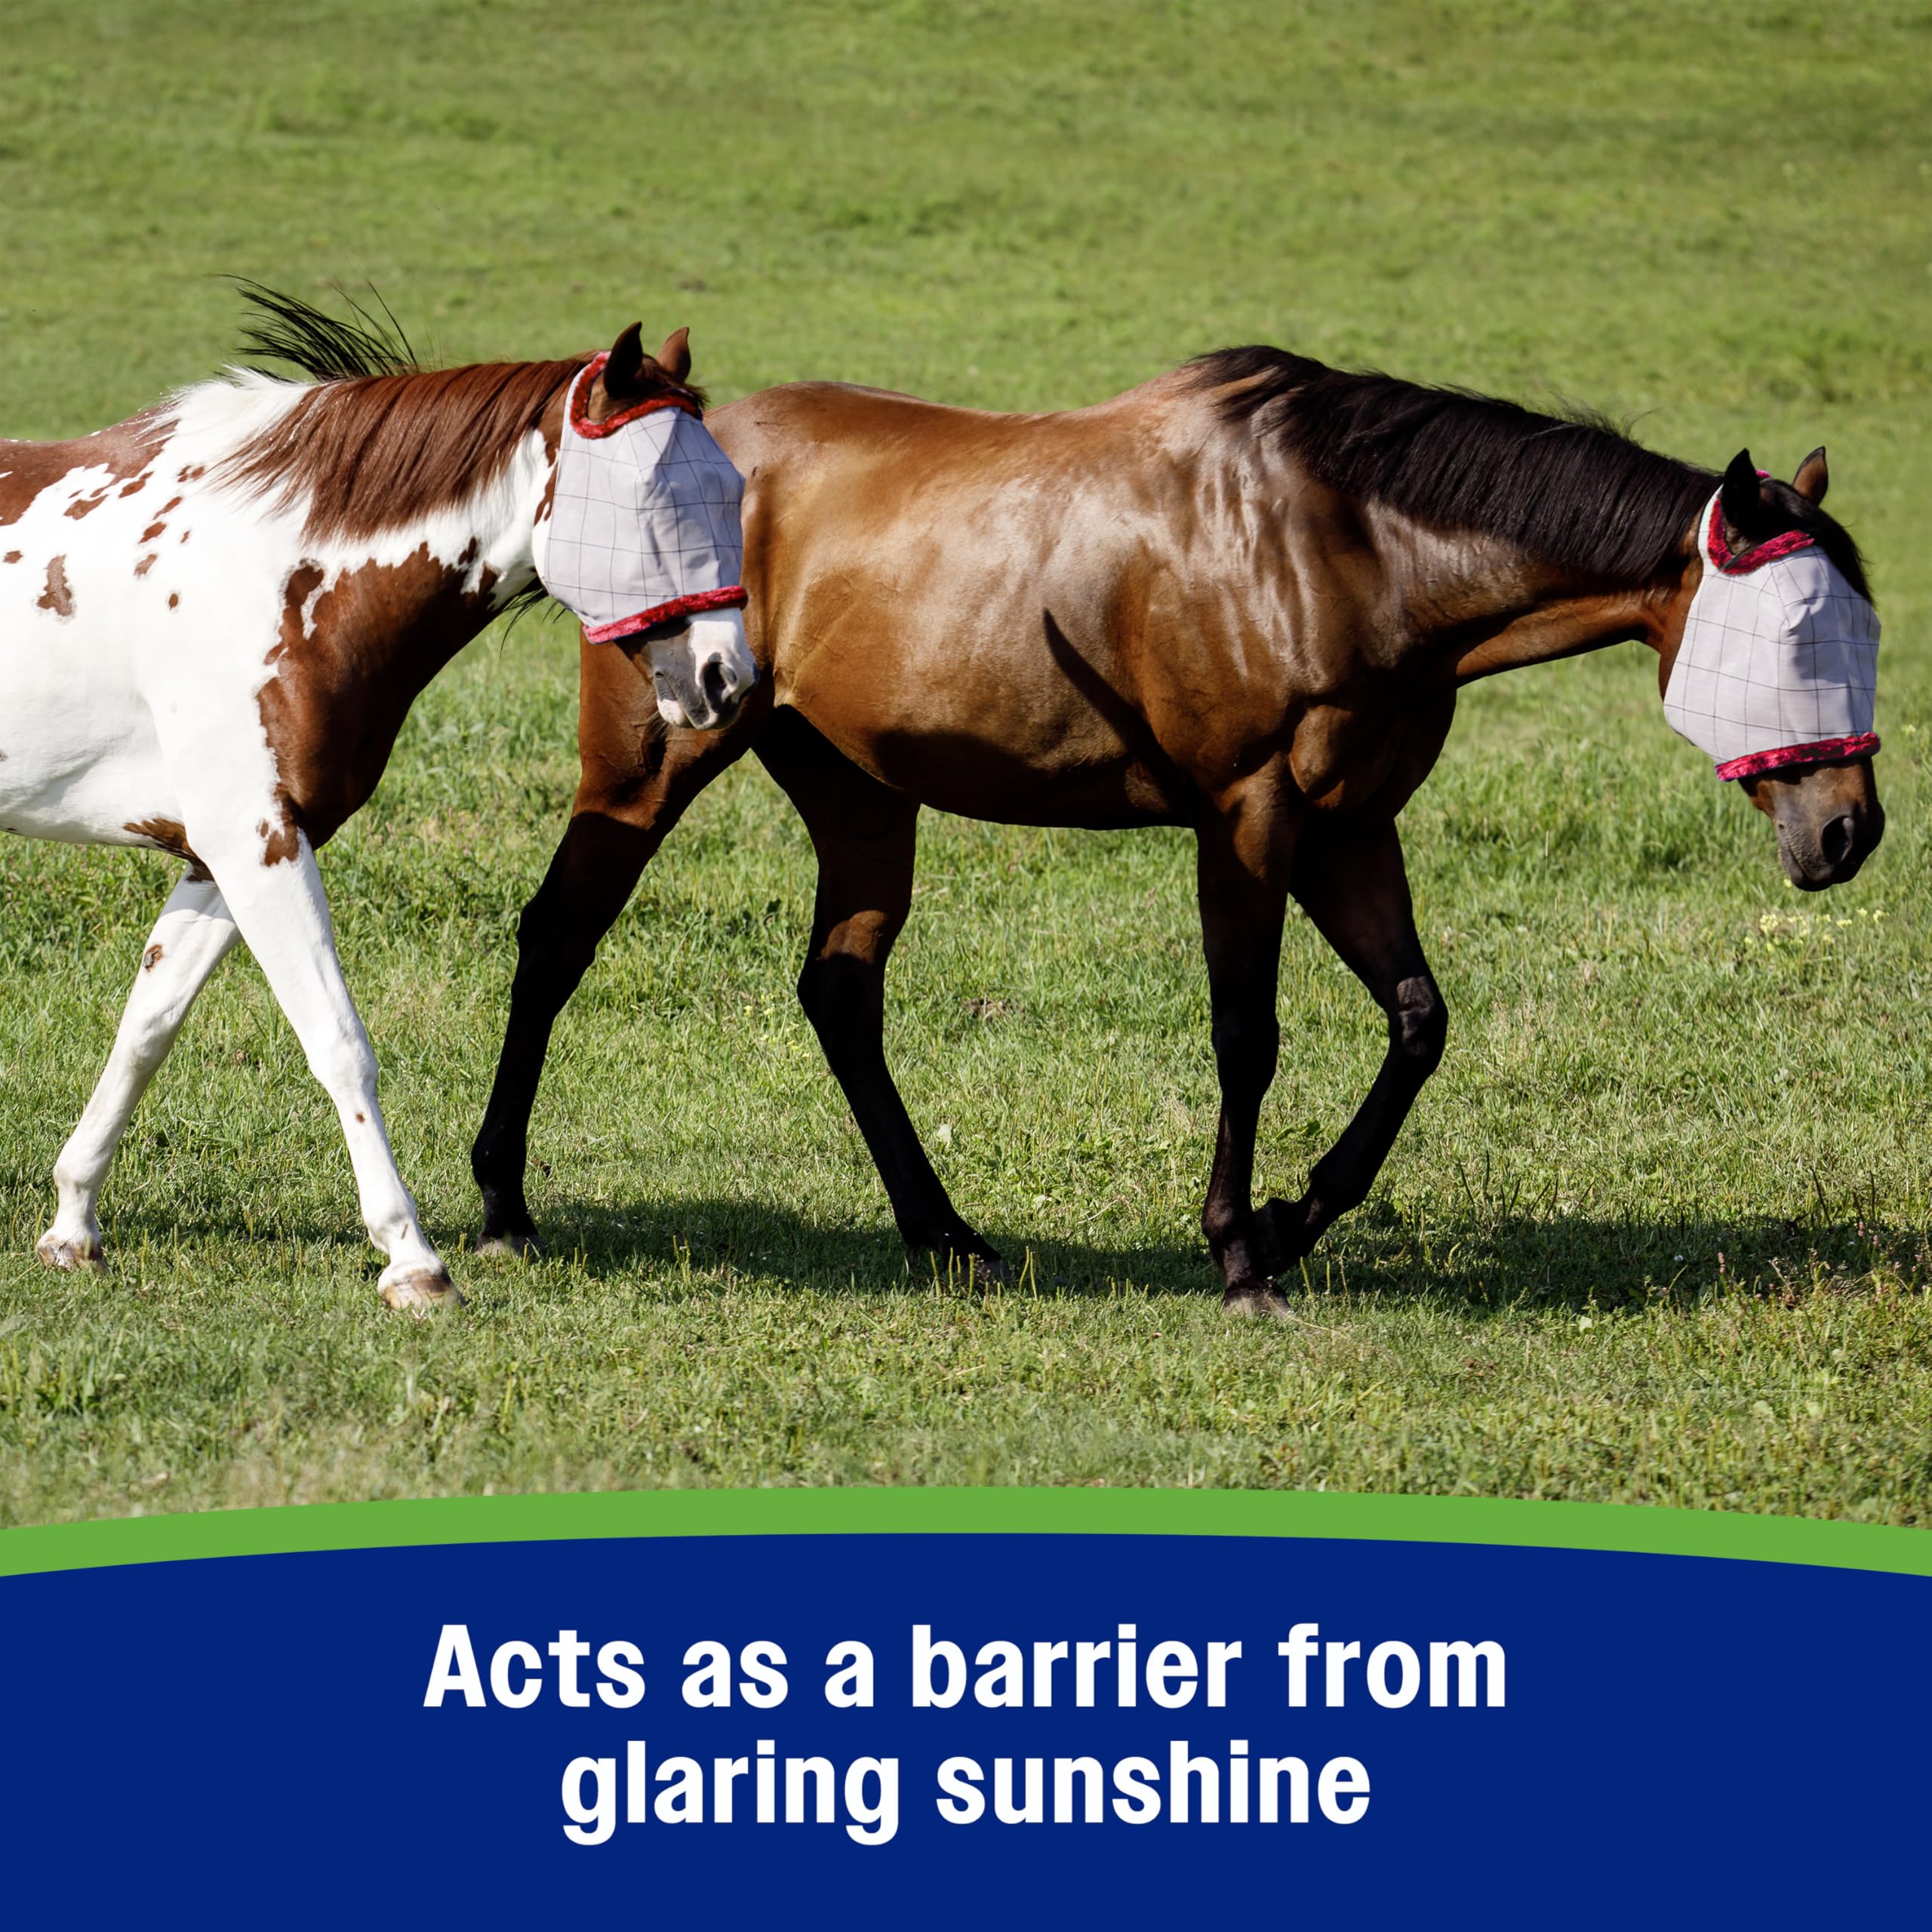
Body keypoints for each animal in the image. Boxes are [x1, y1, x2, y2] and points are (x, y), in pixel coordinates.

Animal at [1, 290, 755, 1309]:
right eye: (654, 498)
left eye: (733, 490)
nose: (727, 679)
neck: (272, 572)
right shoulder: (257, 844)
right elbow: (337, 1041)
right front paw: (412, 1258)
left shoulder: (223, 852)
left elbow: (146, 1028)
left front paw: (73, 1224)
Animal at [469, 347, 1885, 1316]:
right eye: (1800, 634)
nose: (1849, 833)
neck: (1344, 547)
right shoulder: (1247, 819)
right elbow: (1247, 1035)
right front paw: (1238, 1247)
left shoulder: (1351, 830)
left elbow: (1418, 1022)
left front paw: (1297, 1215)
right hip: (652, 762)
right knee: (558, 939)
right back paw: (503, 1200)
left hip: (863, 797)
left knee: (839, 994)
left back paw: (946, 1235)